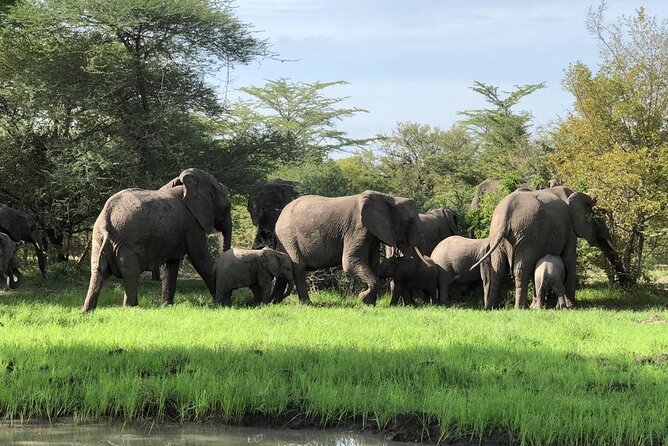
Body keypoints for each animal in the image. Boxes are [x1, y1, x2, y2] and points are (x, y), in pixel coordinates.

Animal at [81, 169, 234, 312]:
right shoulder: (192, 224)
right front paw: (222, 305)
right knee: (130, 272)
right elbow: (201, 261)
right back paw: (131, 308)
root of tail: (106, 217)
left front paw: (166, 306)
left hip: (98, 239)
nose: (227, 302)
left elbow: (171, 266)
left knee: (98, 271)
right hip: (126, 243)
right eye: (227, 207)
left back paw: (87, 311)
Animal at [272, 190, 434, 304]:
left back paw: (274, 302)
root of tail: (280, 216)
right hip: (288, 237)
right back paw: (306, 304)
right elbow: (350, 262)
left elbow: (373, 262)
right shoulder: (358, 227)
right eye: (410, 221)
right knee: (298, 267)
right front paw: (363, 299)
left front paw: (370, 303)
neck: (389, 199)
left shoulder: (372, 232)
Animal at [470, 186, 620, 308]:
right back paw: (520, 307)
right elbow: (569, 259)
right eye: (600, 219)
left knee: (498, 269)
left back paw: (492, 307)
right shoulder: (569, 230)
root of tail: (506, 212)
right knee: (521, 269)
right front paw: (571, 305)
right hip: (528, 234)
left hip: (497, 232)